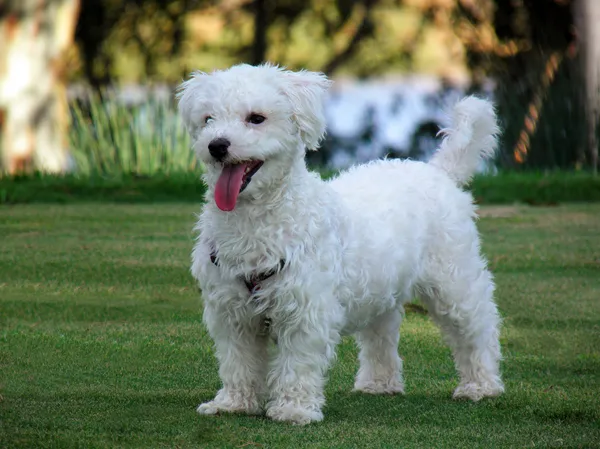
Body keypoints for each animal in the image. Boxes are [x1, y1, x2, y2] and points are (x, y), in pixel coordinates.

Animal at [176, 64, 504, 424]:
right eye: (208, 119)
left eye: (256, 118)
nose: (217, 145)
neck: (256, 223)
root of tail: (438, 171)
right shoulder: (232, 315)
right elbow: (238, 364)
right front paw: (233, 403)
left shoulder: (305, 312)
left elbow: (297, 365)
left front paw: (293, 409)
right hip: (381, 292)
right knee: (381, 336)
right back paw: (379, 384)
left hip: (455, 284)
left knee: (478, 330)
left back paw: (481, 386)